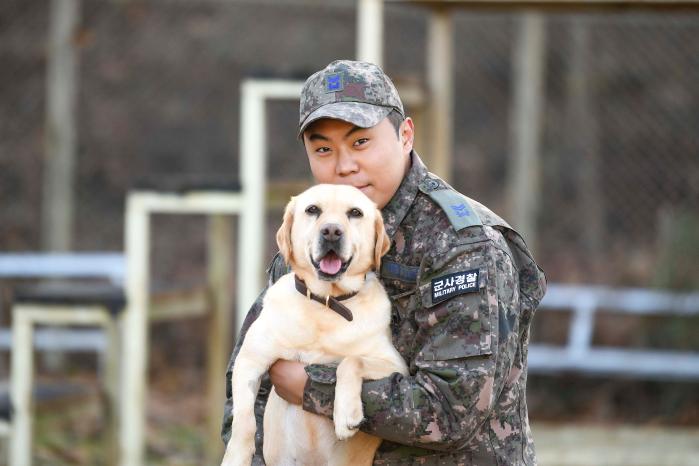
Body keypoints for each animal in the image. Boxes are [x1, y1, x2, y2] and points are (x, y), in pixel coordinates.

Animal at [221, 184, 408, 464]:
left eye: (355, 212)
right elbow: (243, 419)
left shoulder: (396, 366)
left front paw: (346, 413)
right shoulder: (249, 360)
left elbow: (351, 361)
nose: (331, 231)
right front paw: (237, 456)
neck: (325, 304)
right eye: (313, 210)